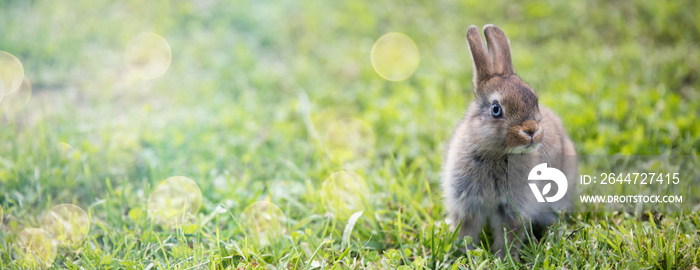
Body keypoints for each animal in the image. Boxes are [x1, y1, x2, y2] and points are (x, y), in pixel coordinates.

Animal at [442, 24, 576, 260]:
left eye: (535, 100)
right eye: (496, 109)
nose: (531, 130)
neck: (496, 154)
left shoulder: (514, 208)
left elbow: (509, 234)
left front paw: (503, 258)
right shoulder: (466, 204)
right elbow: (467, 231)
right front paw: (466, 255)